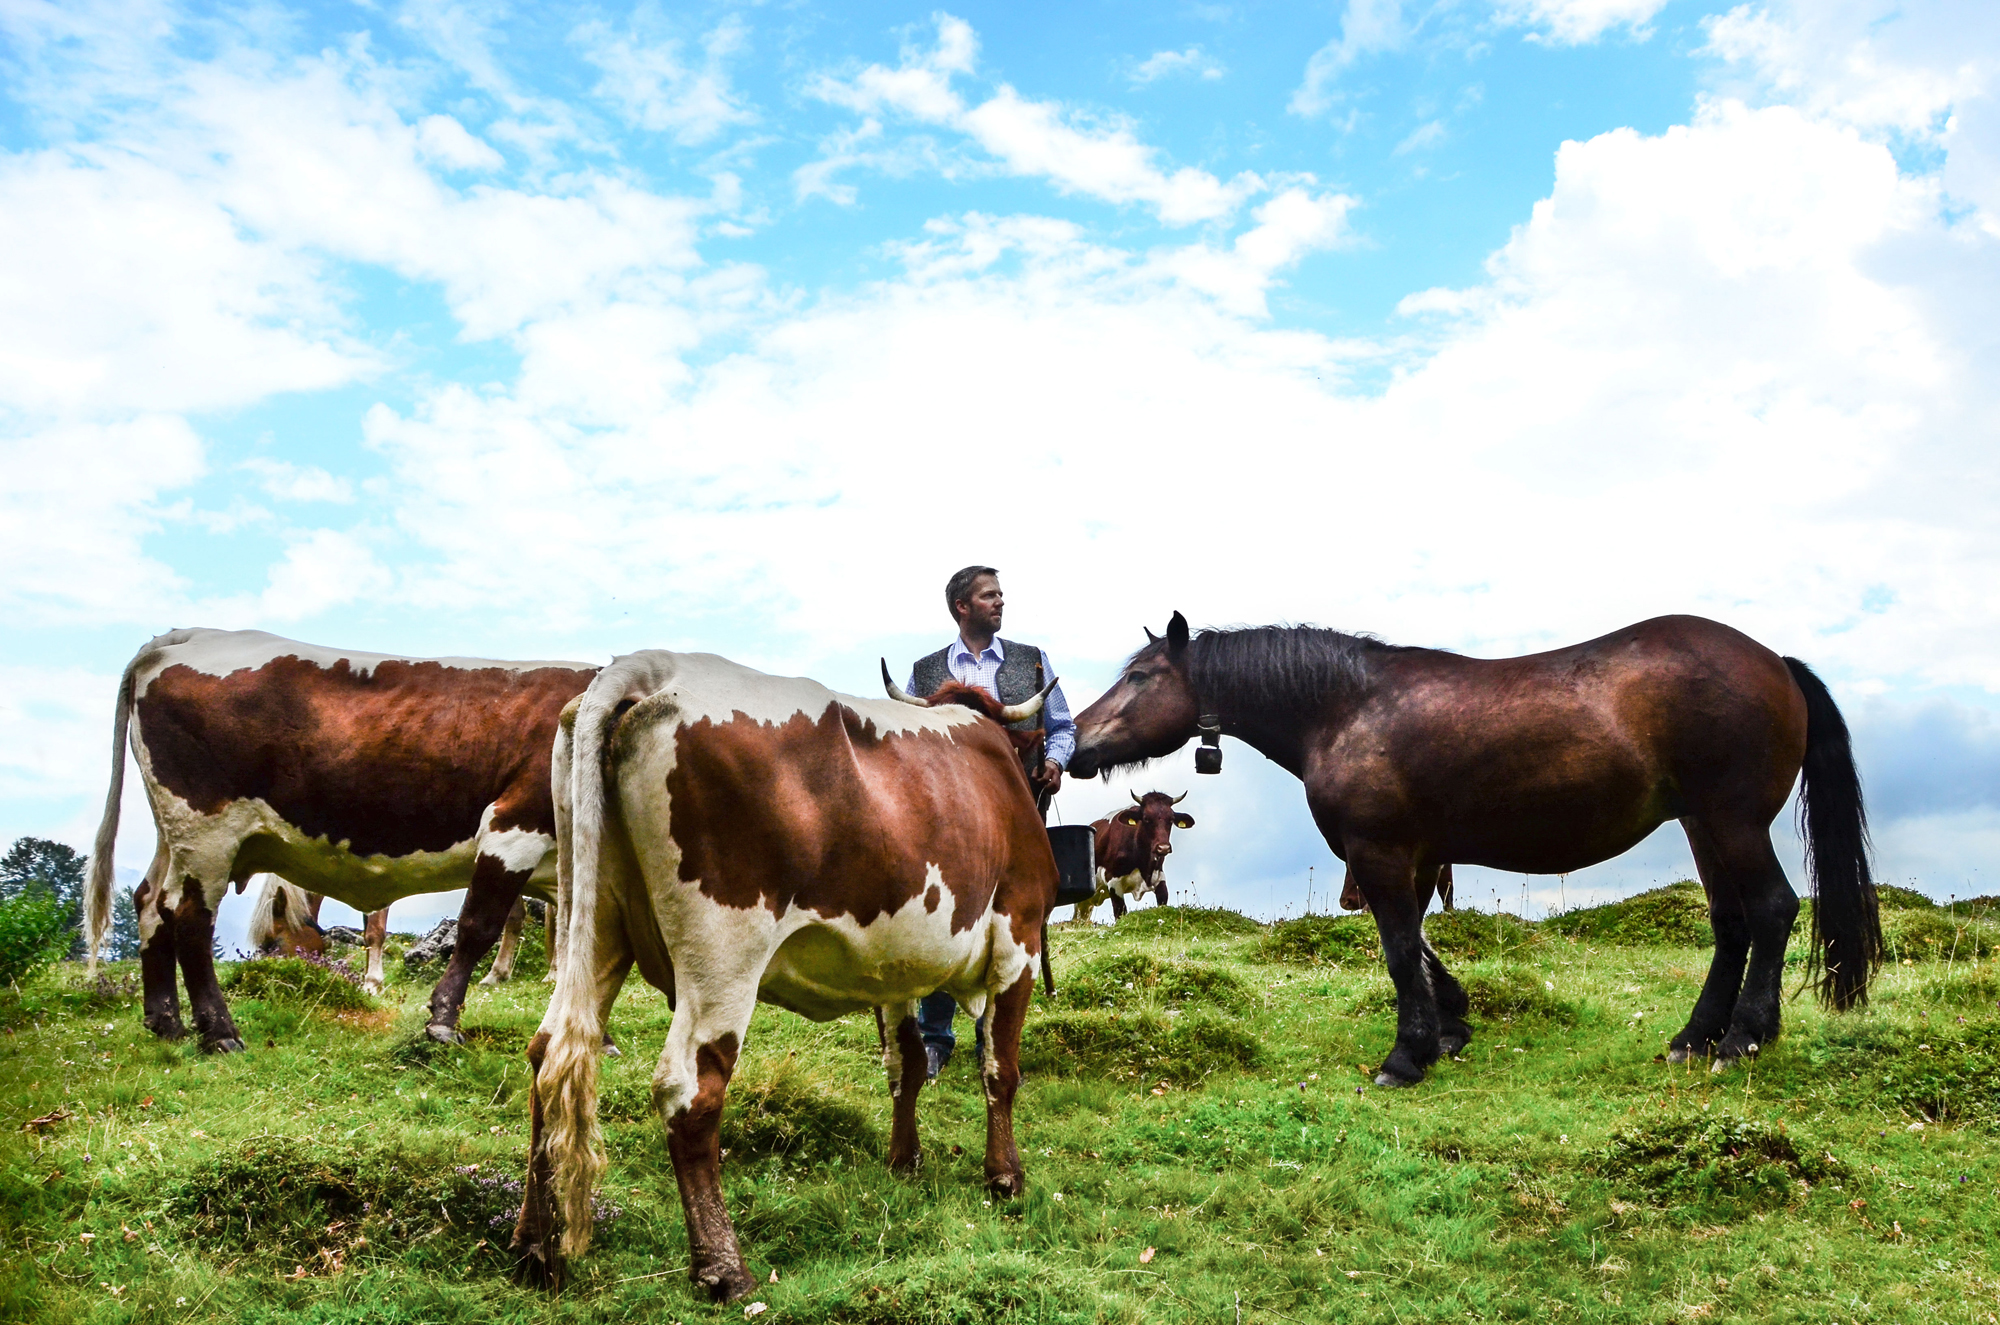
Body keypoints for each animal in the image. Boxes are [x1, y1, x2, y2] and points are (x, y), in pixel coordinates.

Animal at [86, 628, 596, 1056]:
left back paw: (165, 1022)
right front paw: (443, 1023)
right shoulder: (513, 825)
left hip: (174, 834)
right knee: (189, 916)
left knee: (150, 902)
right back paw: (219, 1033)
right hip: (207, 830)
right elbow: (477, 927)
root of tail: (188, 636)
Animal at [512, 648, 1064, 1304]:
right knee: (687, 1090)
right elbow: (1001, 1068)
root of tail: (651, 667)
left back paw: (535, 1250)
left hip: (591, 923)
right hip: (723, 955)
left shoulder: (895, 967)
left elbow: (904, 1064)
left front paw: (904, 1162)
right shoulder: (1019, 938)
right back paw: (723, 1267)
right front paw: (1005, 1177)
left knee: (548, 1057)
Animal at [1088, 792, 1192, 920]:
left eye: (1171, 819)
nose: (1163, 847)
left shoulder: (1159, 876)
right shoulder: (1112, 881)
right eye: (1146, 818)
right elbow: (1120, 913)